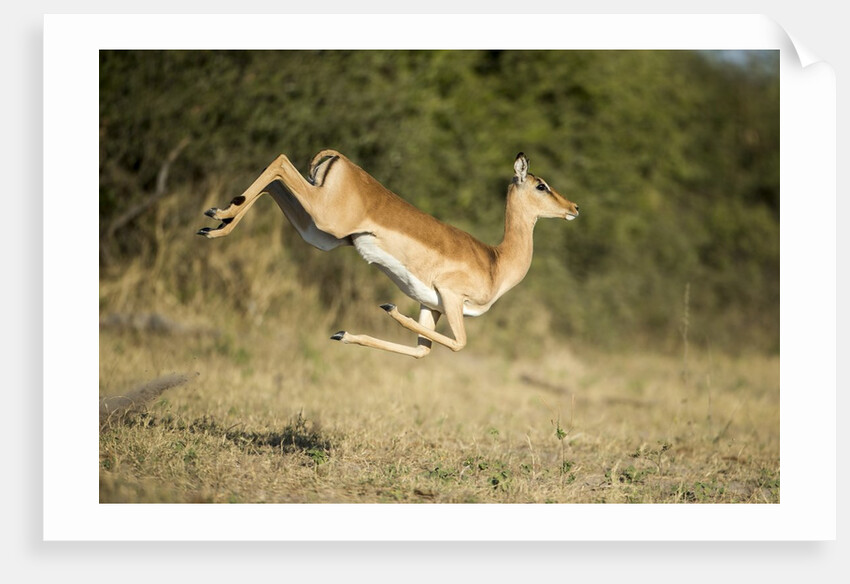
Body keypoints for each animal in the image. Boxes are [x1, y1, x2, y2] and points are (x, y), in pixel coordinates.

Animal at [197, 151, 579, 358]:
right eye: (541, 185)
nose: (574, 207)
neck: (495, 263)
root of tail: (339, 160)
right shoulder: (452, 297)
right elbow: (460, 343)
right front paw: (390, 308)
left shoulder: (432, 306)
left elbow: (420, 350)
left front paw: (343, 333)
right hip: (325, 218)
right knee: (279, 163)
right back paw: (217, 215)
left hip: (318, 233)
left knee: (275, 181)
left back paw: (215, 223)